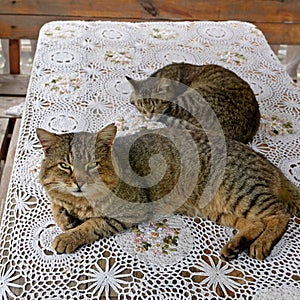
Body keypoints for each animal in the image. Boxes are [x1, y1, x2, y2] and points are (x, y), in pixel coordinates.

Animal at [36, 124, 298, 260]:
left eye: (93, 165)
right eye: (65, 165)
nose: (80, 181)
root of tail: (271, 166)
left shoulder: (130, 211)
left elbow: (92, 224)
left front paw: (68, 236)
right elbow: (56, 204)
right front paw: (65, 219)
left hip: (240, 193)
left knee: (279, 215)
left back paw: (261, 244)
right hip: (224, 210)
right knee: (256, 223)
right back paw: (236, 244)